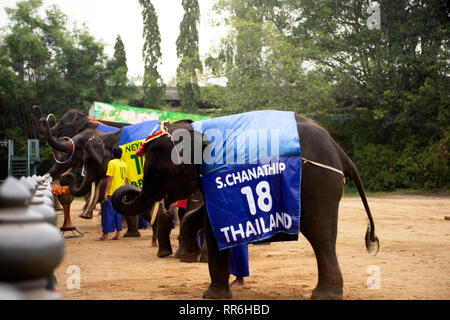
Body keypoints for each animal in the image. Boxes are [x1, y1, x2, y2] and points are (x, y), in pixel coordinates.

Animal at [110, 112, 378, 300]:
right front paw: (187, 256)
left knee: (320, 236)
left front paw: (211, 296)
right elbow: (202, 215)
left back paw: (324, 296)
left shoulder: (213, 173)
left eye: (157, 171)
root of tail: (341, 154)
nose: (127, 193)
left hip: (318, 183)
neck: (195, 129)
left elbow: (213, 224)